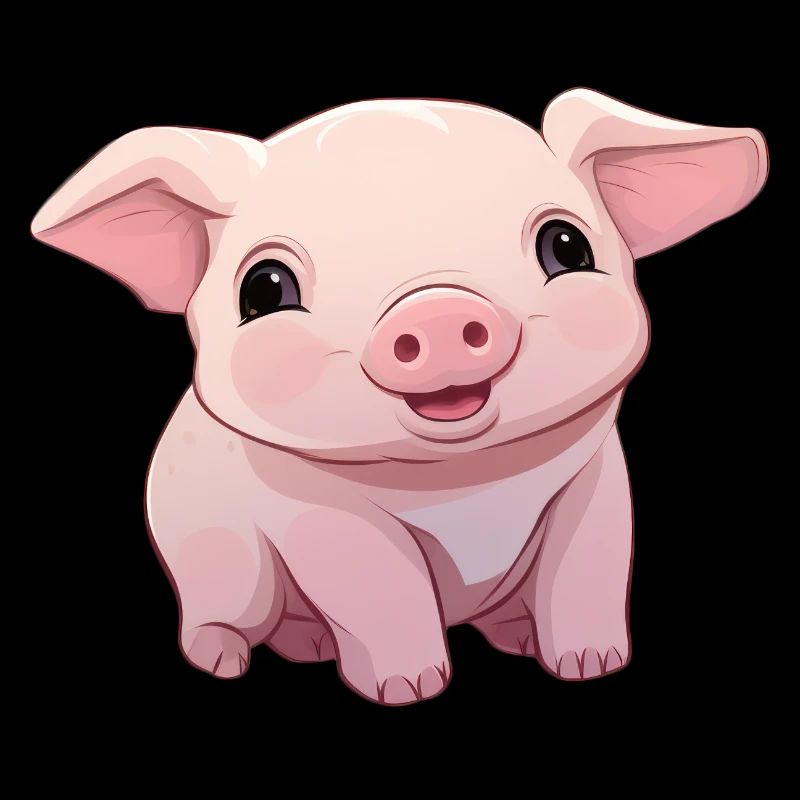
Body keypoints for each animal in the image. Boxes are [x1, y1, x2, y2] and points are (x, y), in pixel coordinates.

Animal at [31, 90, 767, 704]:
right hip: (211, 557)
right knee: (219, 612)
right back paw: (225, 663)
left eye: (567, 246)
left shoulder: (597, 483)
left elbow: (585, 566)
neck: (465, 486)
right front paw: (407, 691)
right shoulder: (316, 514)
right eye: (265, 289)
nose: (438, 312)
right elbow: (384, 589)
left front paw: (595, 666)